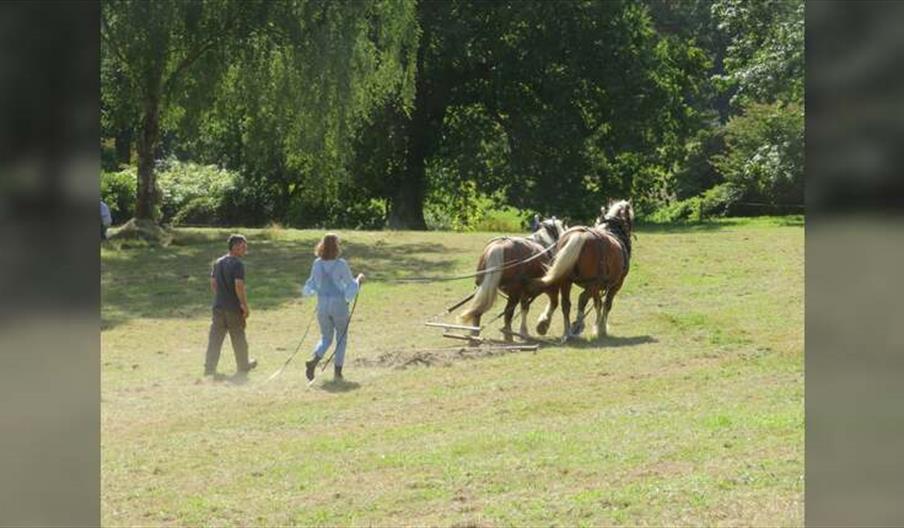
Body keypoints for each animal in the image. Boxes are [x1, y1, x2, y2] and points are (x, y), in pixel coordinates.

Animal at [530, 200, 634, 342]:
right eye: (630, 218)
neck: (612, 229)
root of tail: (580, 235)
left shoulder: (597, 287)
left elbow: (597, 304)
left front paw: (597, 327)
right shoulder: (616, 285)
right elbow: (606, 305)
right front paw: (601, 329)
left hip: (567, 280)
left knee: (566, 304)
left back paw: (566, 331)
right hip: (593, 283)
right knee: (582, 299)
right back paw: (577, 326)